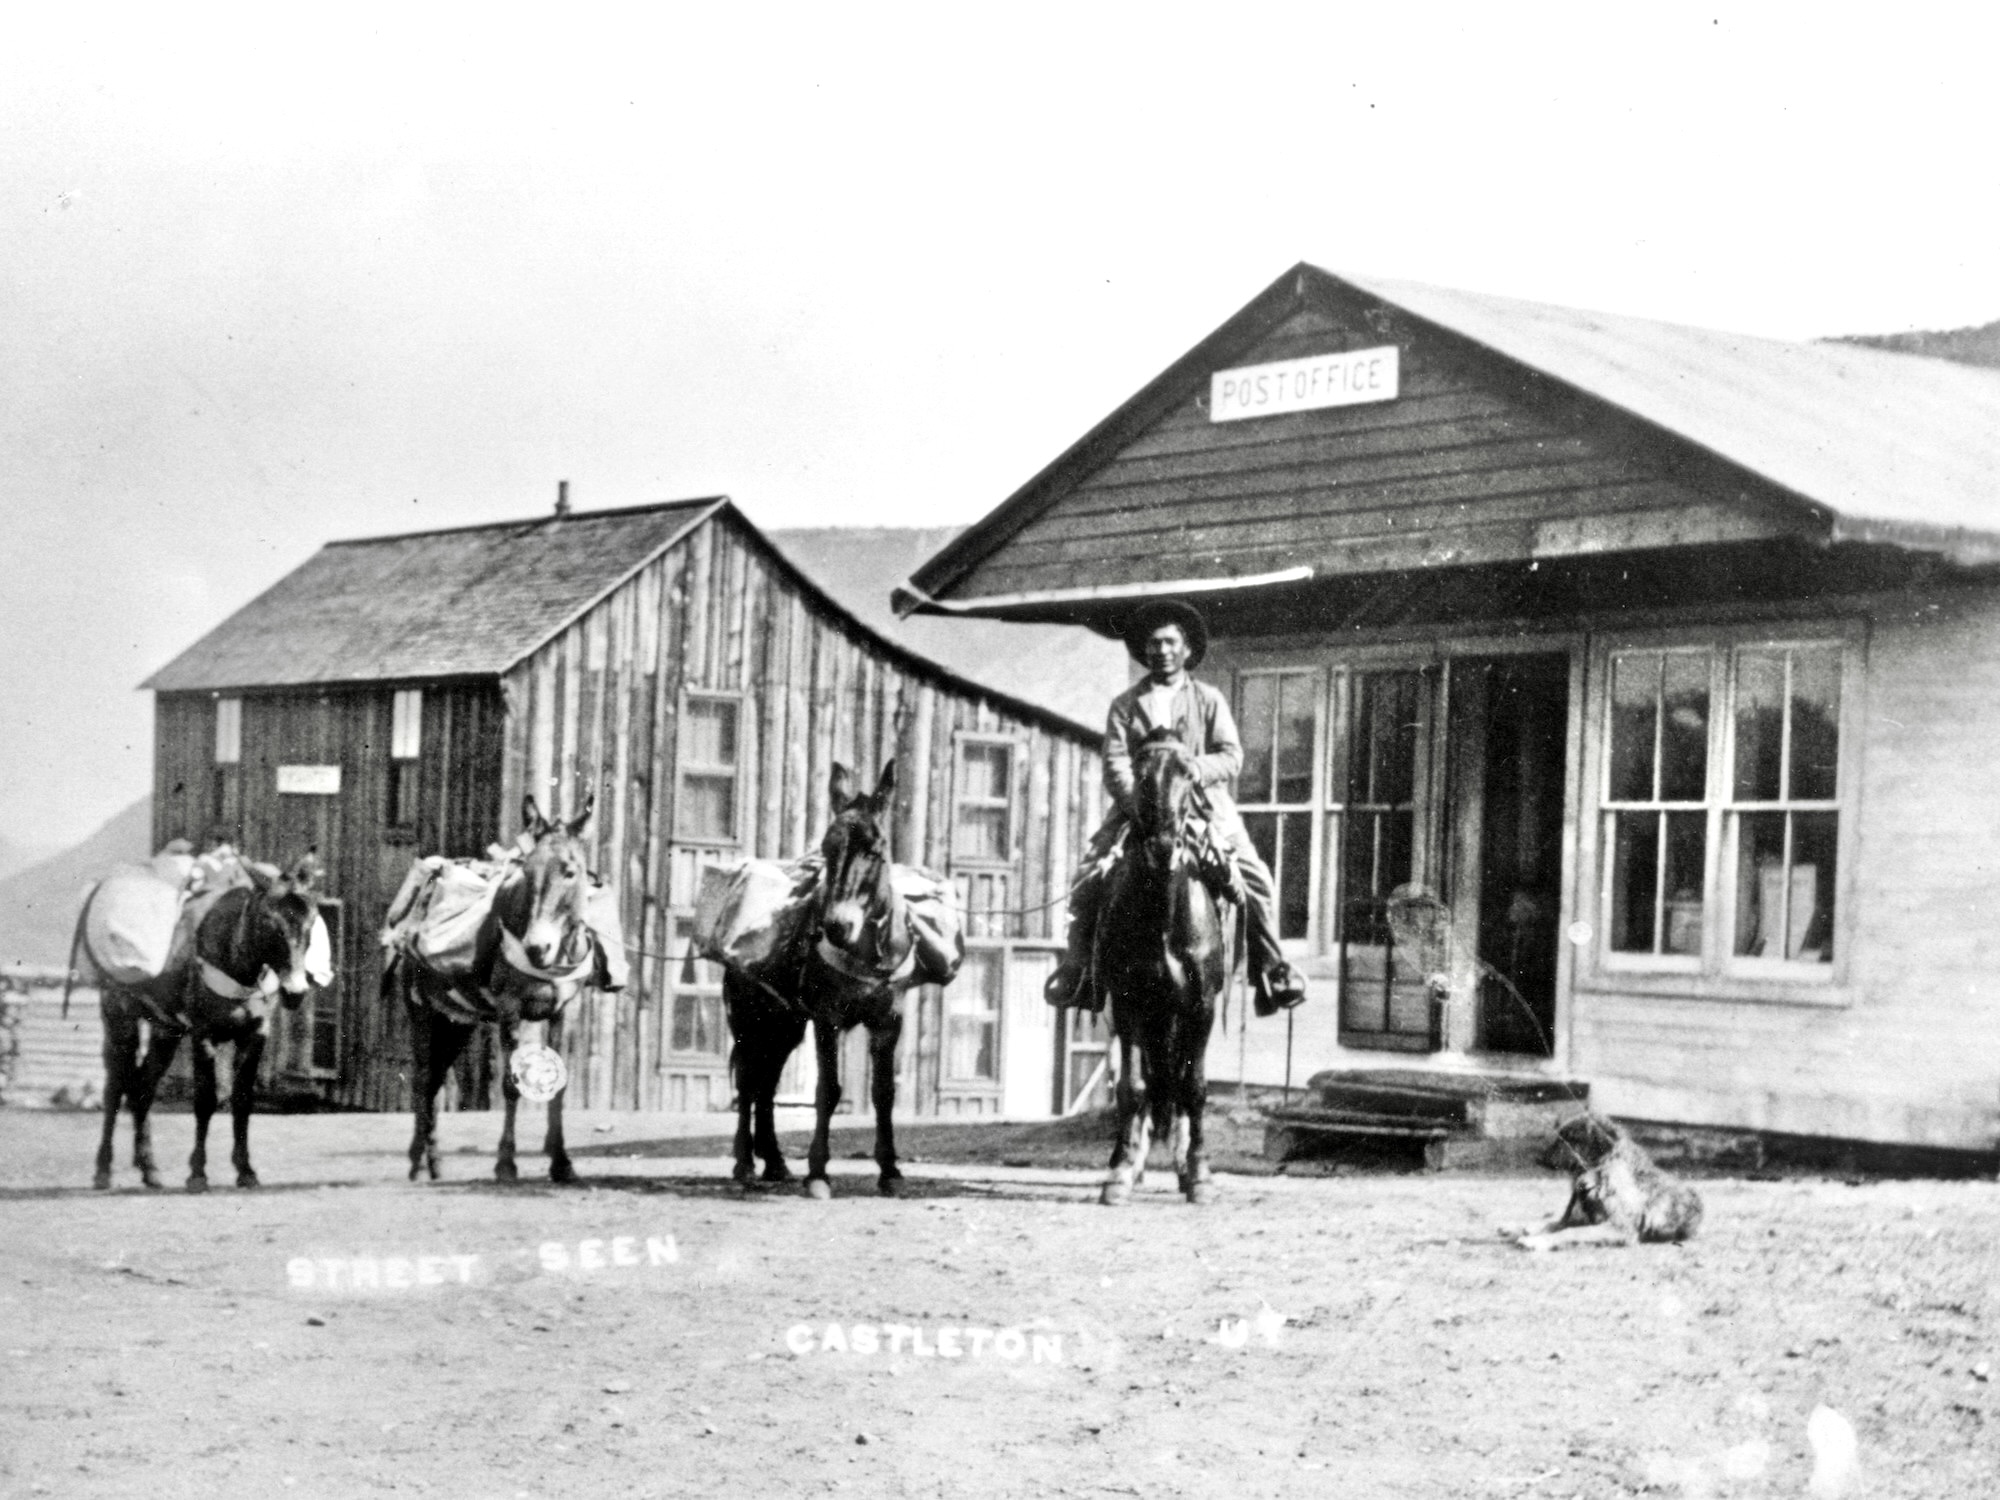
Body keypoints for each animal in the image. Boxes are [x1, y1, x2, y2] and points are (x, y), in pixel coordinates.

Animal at [78, 856, 326, 1200]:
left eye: (311, 923)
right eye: (267, 922)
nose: (296, 992)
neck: (233, 961)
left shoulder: (255, 1036)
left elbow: (242, 1100)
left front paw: (246, 1170)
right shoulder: (204, 1036)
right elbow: (206, 1100)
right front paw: (197, 1173)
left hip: (165, 1031)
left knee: (143, 1088)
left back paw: (150, 1169)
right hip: (120, 1021)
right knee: (115, 1089)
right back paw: (103, 1170)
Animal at [396, 800, 596, 1184]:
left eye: (570, 871)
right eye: (528, 872)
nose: (537, 948)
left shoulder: (563, 1011)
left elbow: (560, 1087)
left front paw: (561, 1162)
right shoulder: (509, 1010)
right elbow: (510, 1084)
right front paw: (506, 1162)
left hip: (457, 1023)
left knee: (435, 1082)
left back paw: (433, 1160)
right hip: (422, 1012)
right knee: (423, 1079)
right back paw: (417, 1162)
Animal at [732, 764, 916, 1200]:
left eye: (875, 849)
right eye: (828, 849)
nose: (836, 926)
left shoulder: (889, 1022)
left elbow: (884, 1094)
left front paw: (890, 1170)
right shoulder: (827, 1019)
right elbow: (827, 1091)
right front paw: (818, 1173)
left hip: (785, 1024)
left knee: (766, 1085)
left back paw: (775, 1162)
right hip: (752, 1020)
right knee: (748, 1082)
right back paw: (745, 1163)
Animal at [1096, 736, 1232, 1216]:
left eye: (1189, 775)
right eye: (1140, 775)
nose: (1162, 847)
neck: (1163, 919)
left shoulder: (1200, 1008)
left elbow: (1193, 1088)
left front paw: (1201, 1174)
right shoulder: (1128, 1005)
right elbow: (1133, 1087)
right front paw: (1118, 1173)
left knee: (1175, 1085)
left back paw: (1183, 1165)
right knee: (1154, 1084)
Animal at [1504, 1120, 1712, 1256]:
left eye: (1570, 1139)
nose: (1538, 1158)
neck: (1599, 1176)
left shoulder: (1619, 1229)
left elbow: (1570, 1231)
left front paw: (1536, 1241)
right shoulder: (1578, 1217)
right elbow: (1555, 1224)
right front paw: (1528, 1231)